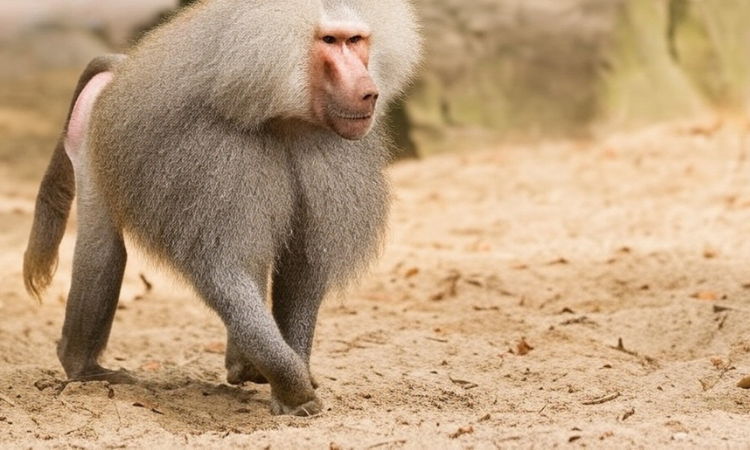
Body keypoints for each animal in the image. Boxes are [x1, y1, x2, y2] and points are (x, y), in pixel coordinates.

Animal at [23, 0, 421, 416]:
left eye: (356, 40)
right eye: (330, 40)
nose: (369, 93)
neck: (283, 111)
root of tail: (124, 68)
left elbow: (304, 268)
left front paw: (291, 373)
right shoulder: (213, 152)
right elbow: (222, 269)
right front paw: (296, 392)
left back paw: (243, 365)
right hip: (91, 137)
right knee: (103, 247)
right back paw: (84, 368)